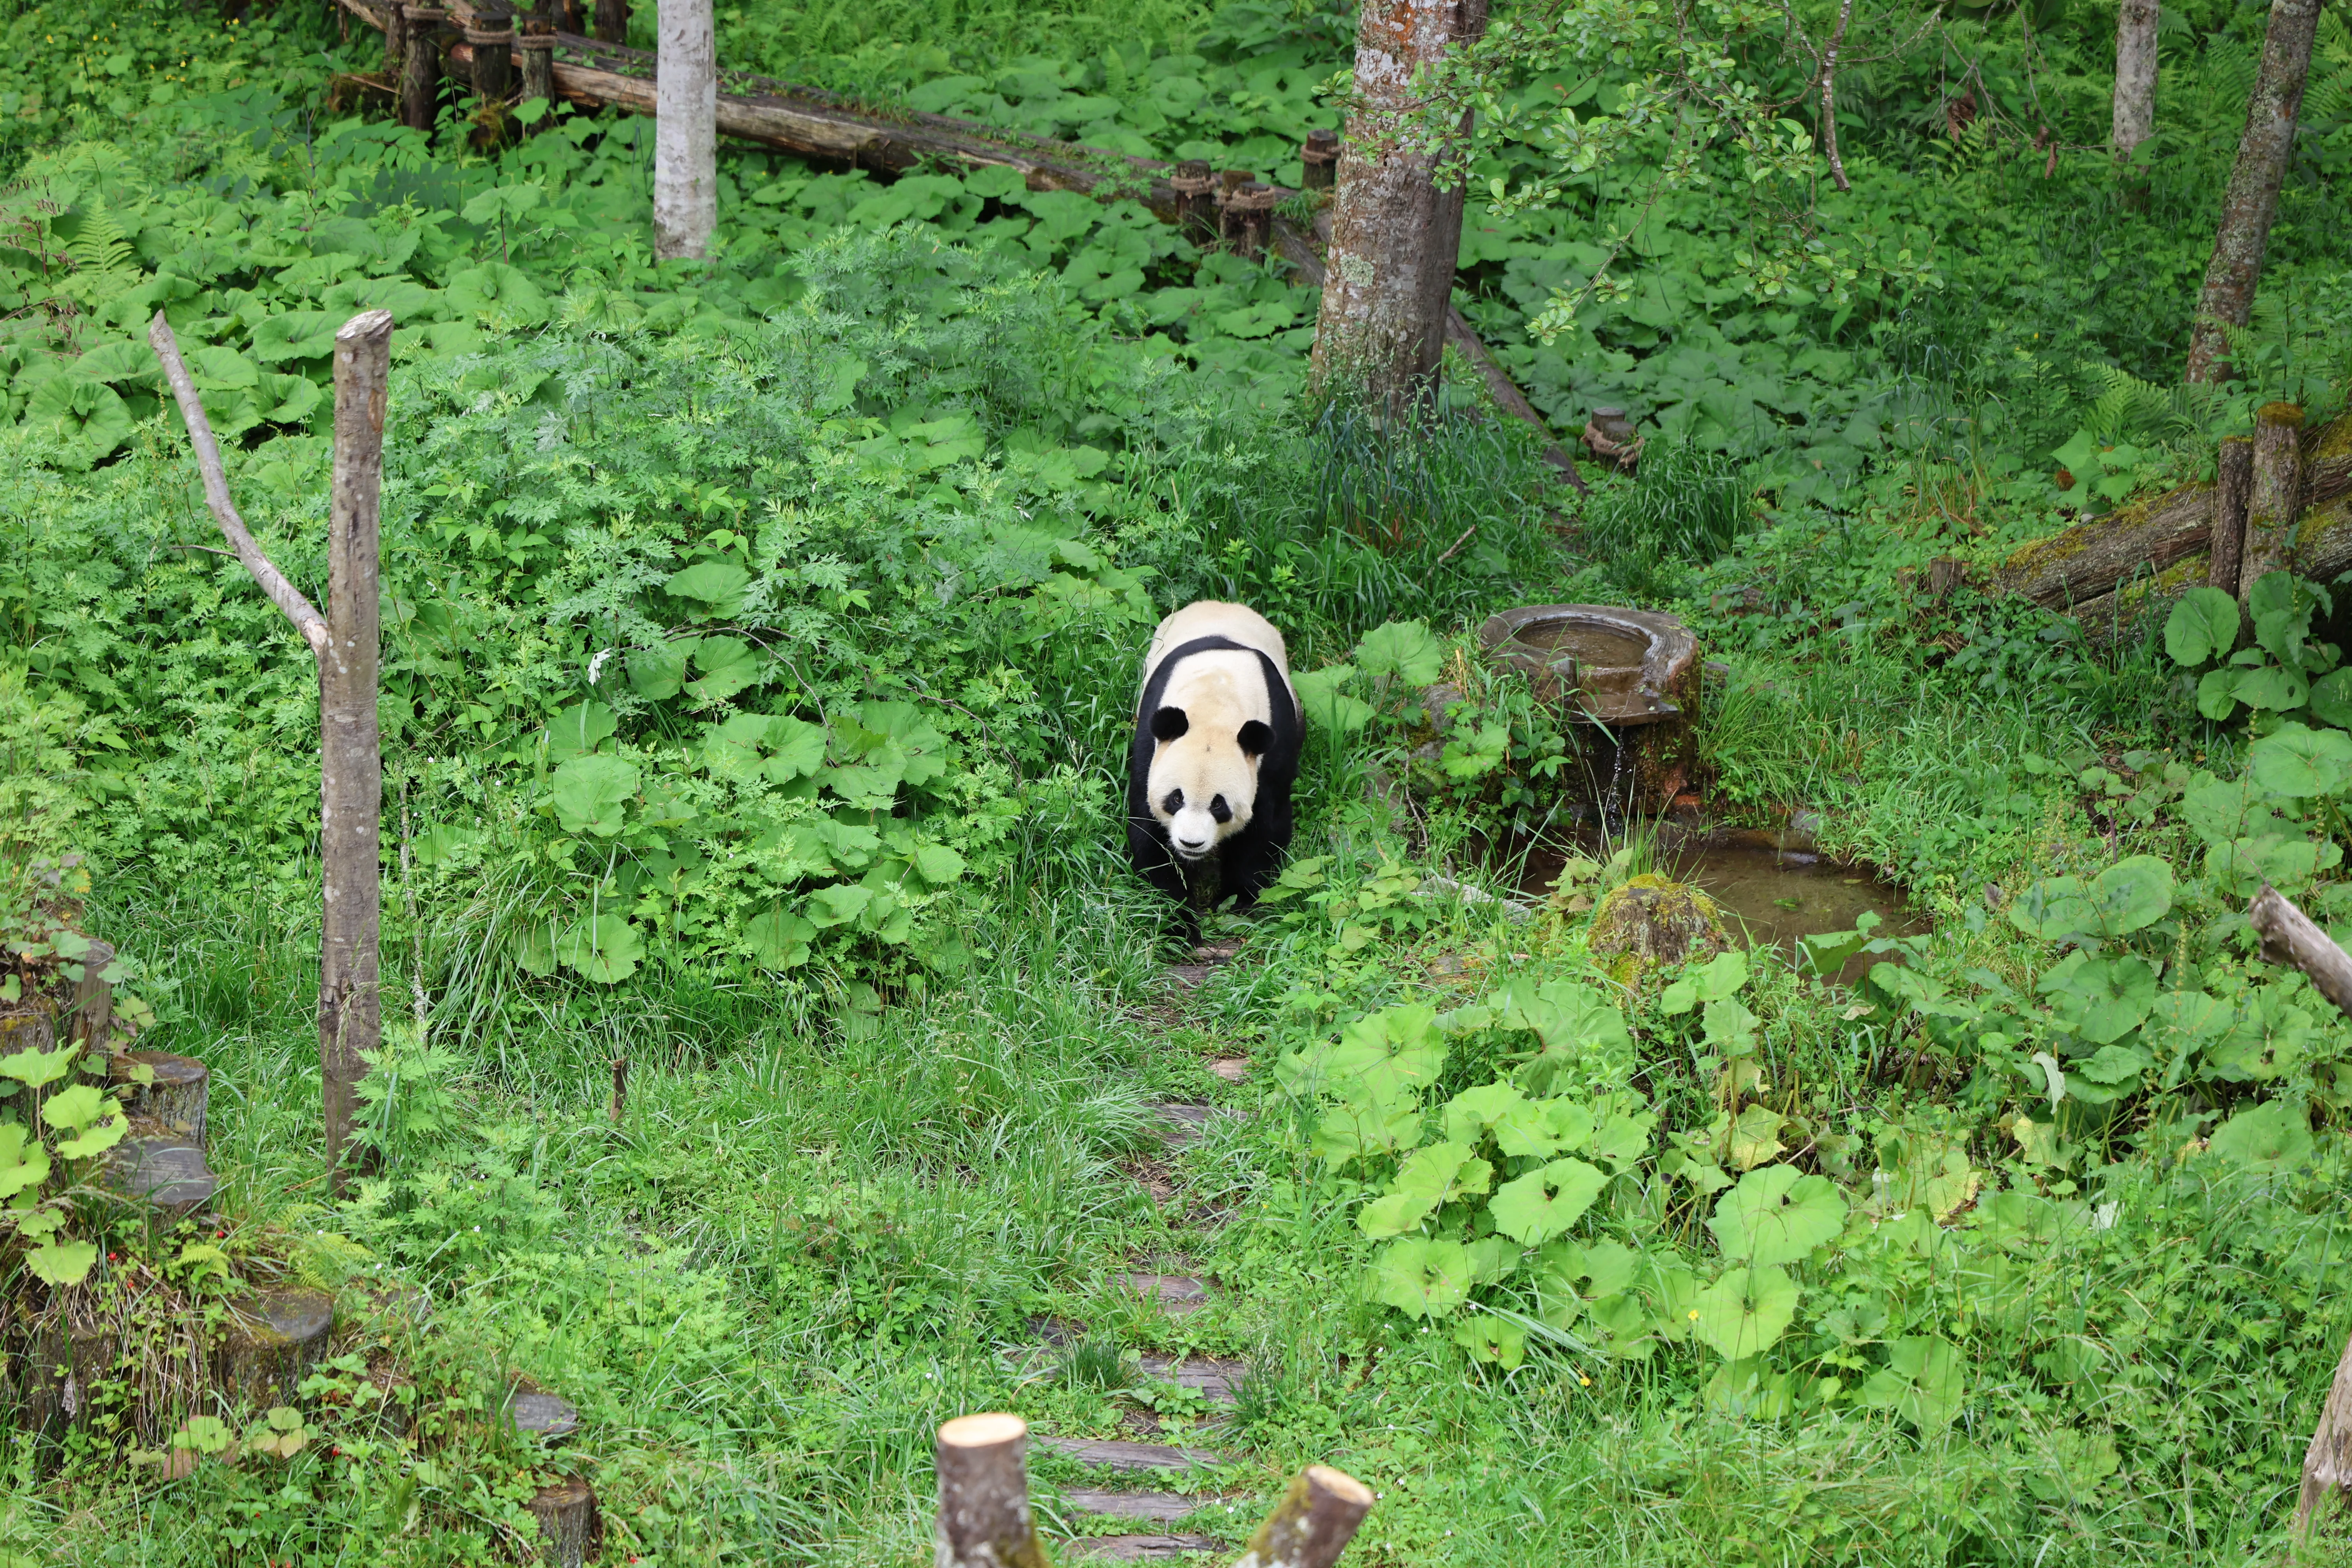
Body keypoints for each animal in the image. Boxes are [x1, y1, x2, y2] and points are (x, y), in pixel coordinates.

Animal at [1126, 600, 1303, 918]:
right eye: (1176, 798)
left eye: (1218, 804)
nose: (1190, 843)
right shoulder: (1152, 742)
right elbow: (1150, 833)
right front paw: (1178, 917)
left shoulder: (1273, 744)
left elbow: (1264, 830)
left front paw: (1236, 903)